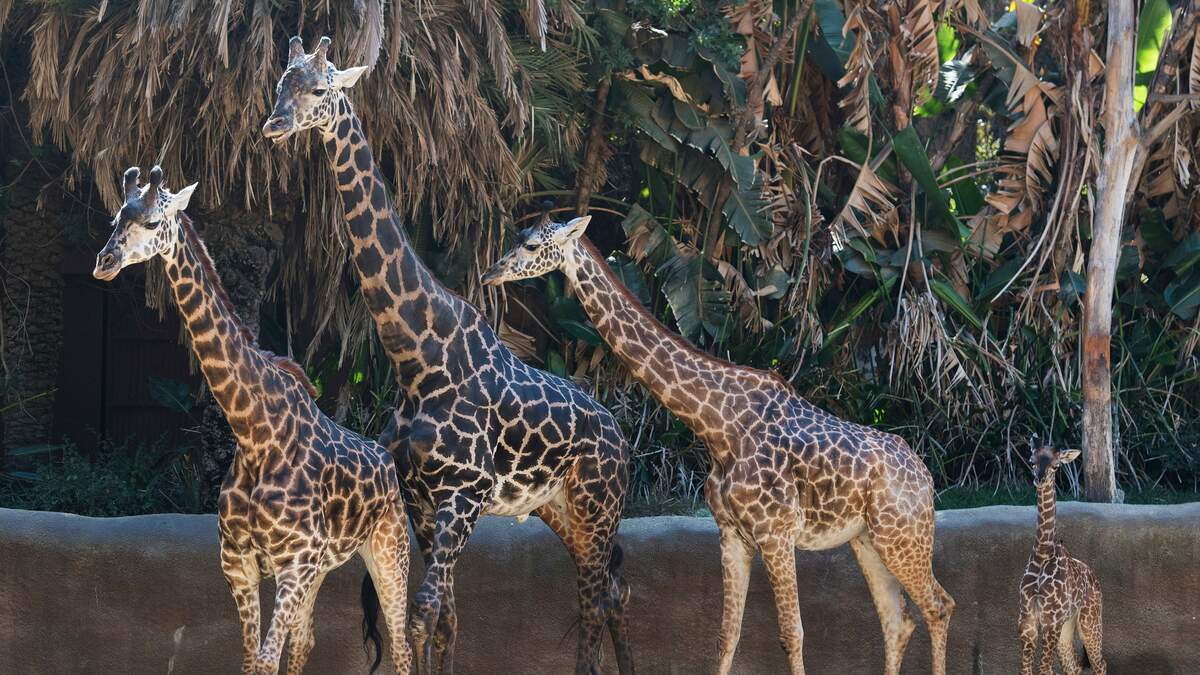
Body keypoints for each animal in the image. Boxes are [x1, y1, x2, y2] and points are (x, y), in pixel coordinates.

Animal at [92, 166, 412, 675]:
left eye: (152, 221)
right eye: (116, 219)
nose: (105, 261)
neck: (255, 431)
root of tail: (388, 462)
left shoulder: (295, 561)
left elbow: (264, 660)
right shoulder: (240, 563)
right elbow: (251, 659)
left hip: (388, 549)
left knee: (401, 646)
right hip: (320, 569)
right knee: (305, 641)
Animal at [262, 37, 634, 675]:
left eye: (319, 88)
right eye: (281, 83)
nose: (274, 125)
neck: (417, 357)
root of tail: (621, 440)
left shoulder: (463, 495)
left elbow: (422, 613)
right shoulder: (423, 500)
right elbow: (443, 618)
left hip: (597, 507)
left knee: (596, 599)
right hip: (562, 510)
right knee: (609, 595)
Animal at [482, 215, 956, 675]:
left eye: (530, 245)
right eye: (517, 235)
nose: (490, 272)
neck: (718, 424)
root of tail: (926, 477)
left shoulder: (776, 533)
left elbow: (792, 634)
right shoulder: (732, 535)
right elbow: (727, 635)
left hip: (903, 536)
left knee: (938, 606)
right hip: (868, 541)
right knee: (898, 620)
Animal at [1018, 437, 1105, 675]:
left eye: (1056, 466)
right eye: (1032, 461)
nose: (1039, 479)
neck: (1042, 553)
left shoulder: (1051, 620)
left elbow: (1045, 669)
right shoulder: (1027, 620)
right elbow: (1026, 670)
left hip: (1089, 621)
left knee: (1099, 663)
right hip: (1067, 627)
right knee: (1074, 666)